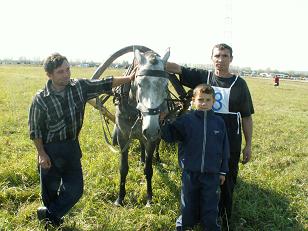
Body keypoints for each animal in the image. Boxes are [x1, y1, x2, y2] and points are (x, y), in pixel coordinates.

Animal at [114, 48, 170, 206]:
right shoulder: (122, 136)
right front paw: (120, 198)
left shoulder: (151, 138)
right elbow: (123, 168)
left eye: (166, 85)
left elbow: (148, 170)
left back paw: (156, 158)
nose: (150, 130)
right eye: (139, 84)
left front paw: (149, 198)